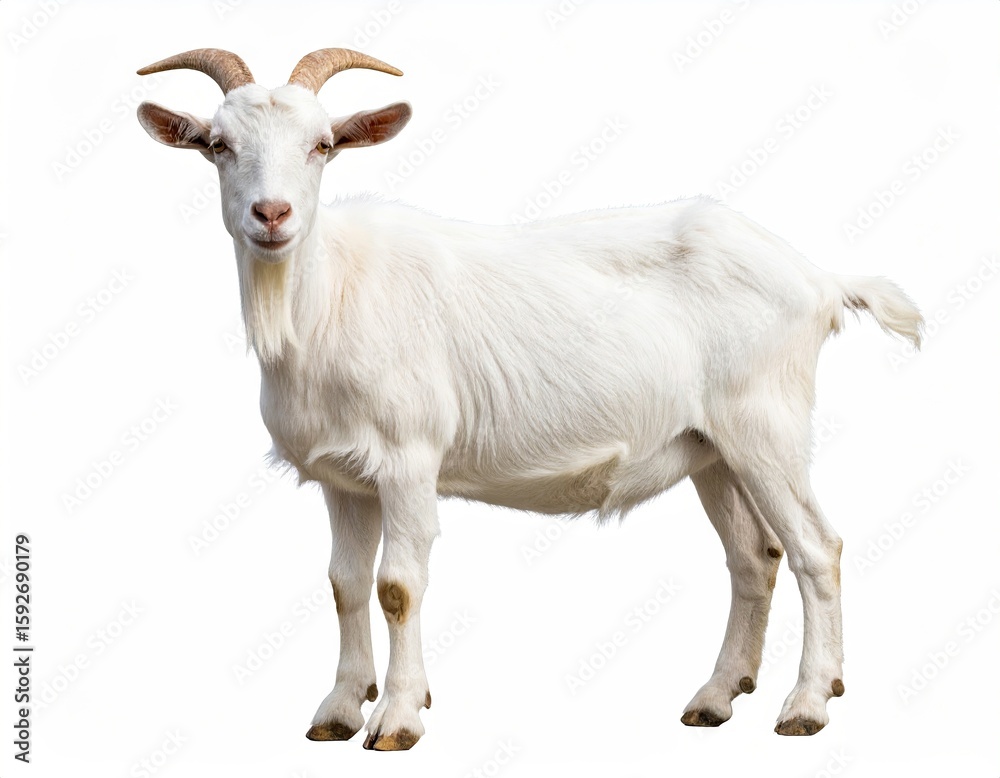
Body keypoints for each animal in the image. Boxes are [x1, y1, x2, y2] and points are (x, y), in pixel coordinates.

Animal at [136, 48, 923, 748]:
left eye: (323, 145)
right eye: (218, 145)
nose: (272, 215)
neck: (329, 297)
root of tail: (818, 279)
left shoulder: (409, 459)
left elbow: (398, 585)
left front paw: (397, 719)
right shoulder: (344, 478)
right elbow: (345, 585)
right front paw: (338, 709)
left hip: (765, 422)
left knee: (818, 548)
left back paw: (808, 704)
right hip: (713, 449)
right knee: (754, 558)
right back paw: (716, 697)